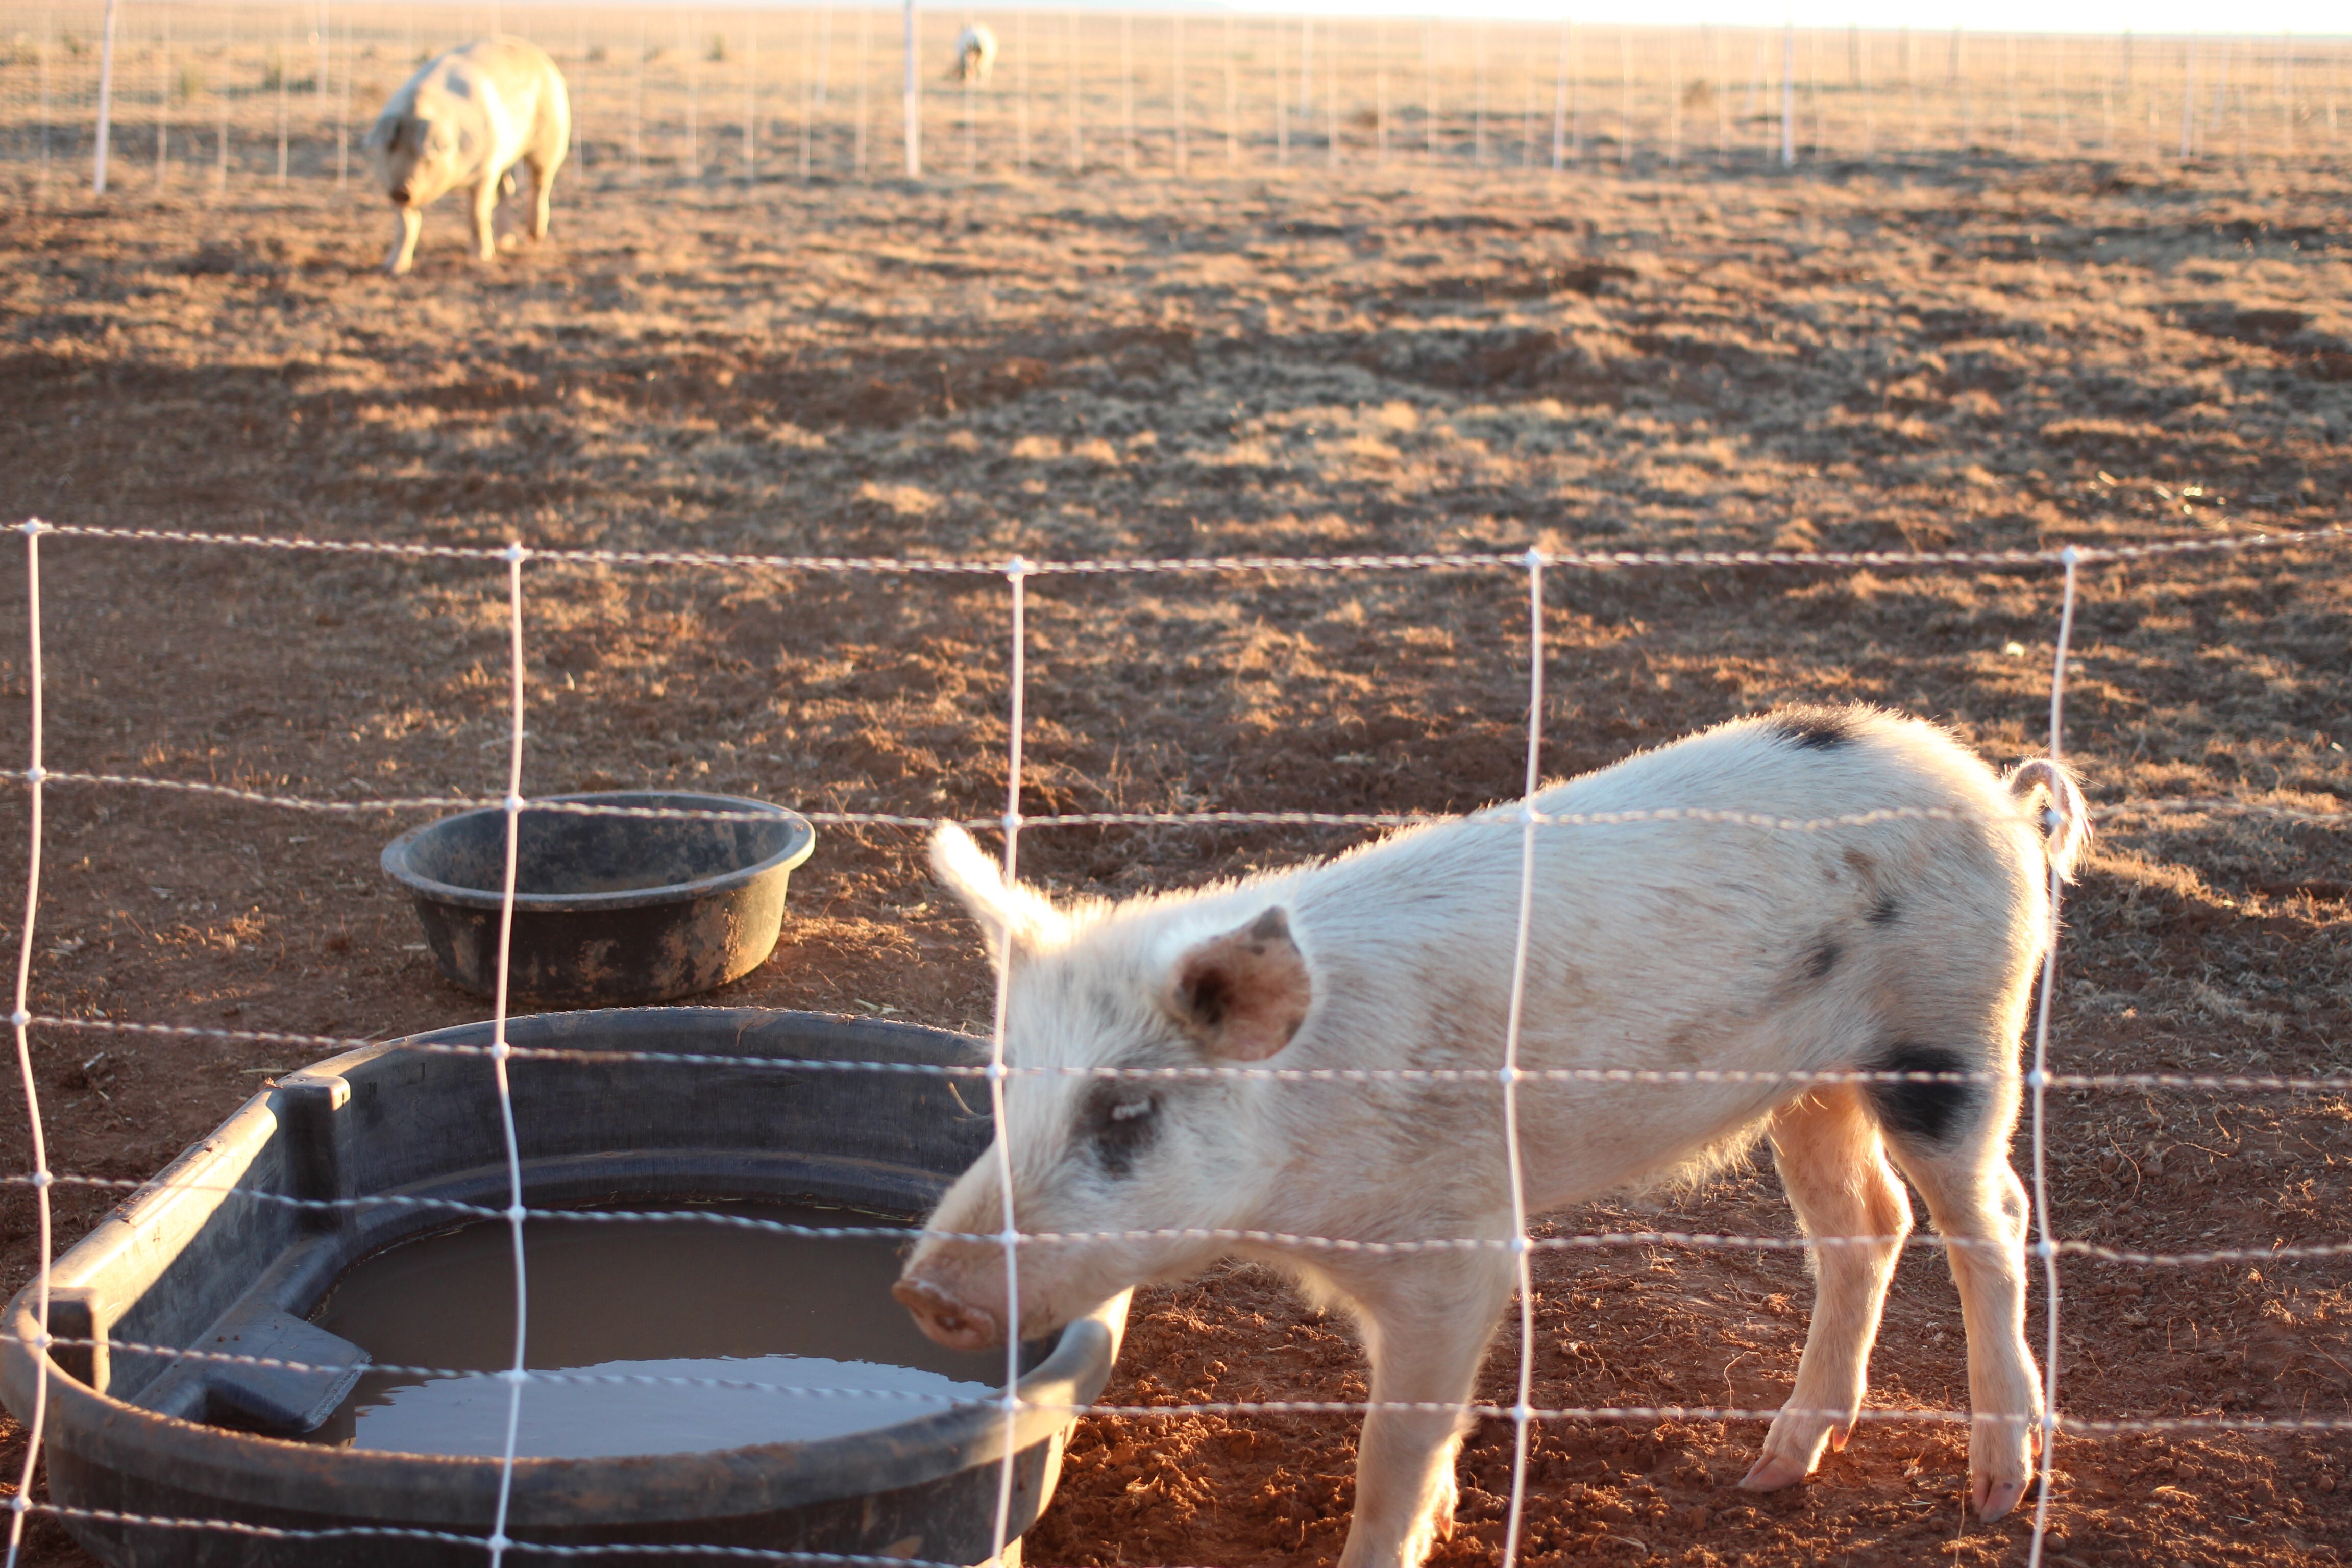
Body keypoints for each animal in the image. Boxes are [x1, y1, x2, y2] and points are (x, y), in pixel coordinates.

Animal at [363, 36, 570, 277]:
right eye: (390, 149)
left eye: (426, 157)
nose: (401, 191)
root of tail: (538, 54)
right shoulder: (389, 182)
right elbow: (406, 224)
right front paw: (393, 269)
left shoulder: (485, 171)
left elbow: (477, 215)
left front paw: (481, 258)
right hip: (505, 157)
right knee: (507, 190)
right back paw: (505, 242)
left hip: (551, 138)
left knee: (540, 182)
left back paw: (534, 236)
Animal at [895, 704, 2088, 1568]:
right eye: (1003, 1085)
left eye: (1126, 1110)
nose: (924, 1290)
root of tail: (1994, 792)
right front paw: (1444, 1516)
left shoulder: (1456, 1247)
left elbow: (1395, 1444)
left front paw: (1399, 1534)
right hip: (1810, 1086)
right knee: (1866, 1225)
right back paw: (1774, 1469)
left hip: (1953, 1035)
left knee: (1993, 1218)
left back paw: (1995, 1489)